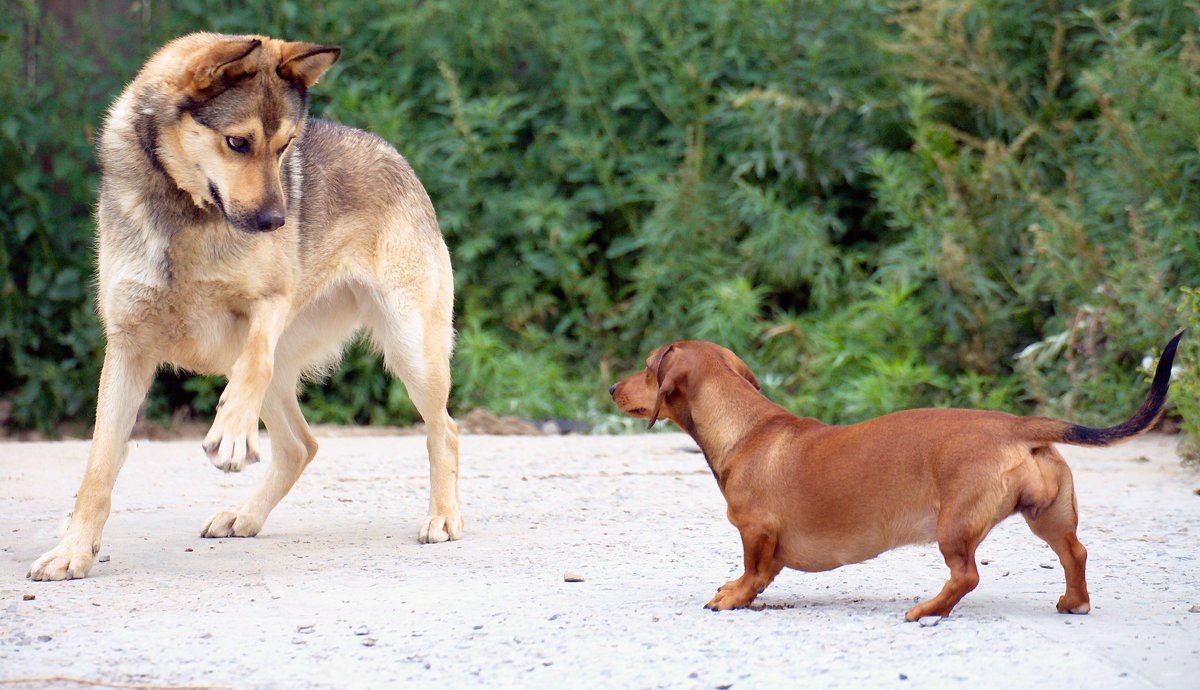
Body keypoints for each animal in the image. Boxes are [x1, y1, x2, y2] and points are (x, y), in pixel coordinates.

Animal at [29, 33, 458, 583]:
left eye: (286, 146)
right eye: (237, 143)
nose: (278, 222)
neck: (186, 212)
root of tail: (393, 152)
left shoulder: (271, 303)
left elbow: (253, 364)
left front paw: (232, 433)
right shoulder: (127, 350)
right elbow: (98, 467)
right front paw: (73, 551)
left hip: (412, 351)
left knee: (443, 430)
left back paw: (443, 517)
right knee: (301, 446)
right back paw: (246, 516)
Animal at [614, 336, 1185, 619]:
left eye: (647, 365)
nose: (614, 388)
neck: (748, 428)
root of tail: (1017, 424)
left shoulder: (756, 532)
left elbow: (754, 573)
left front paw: (732, 596)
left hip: (953, 524)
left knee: (966, 576)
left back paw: (926, 610)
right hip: (1047, 516)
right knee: (1075, 553)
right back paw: (1073, 602)